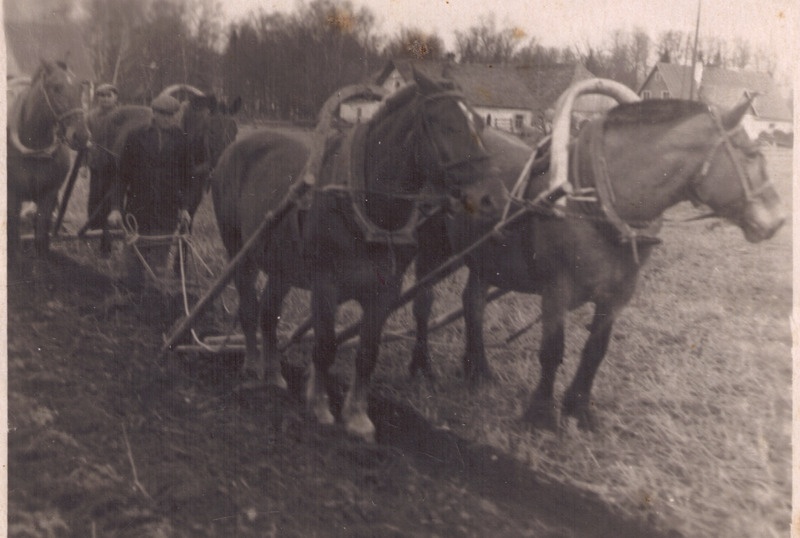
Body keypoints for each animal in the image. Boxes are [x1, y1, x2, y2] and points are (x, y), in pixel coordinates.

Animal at [6, 59, 90, 262]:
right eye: (56, 87)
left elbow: (41, 241)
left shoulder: (48, 195)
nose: (81, 135)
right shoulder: (13, 196)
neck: (35, 150)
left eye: (80, 88)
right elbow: (14, 243)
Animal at [212, 70, 510, 440]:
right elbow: (325, 345)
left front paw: (356, 417)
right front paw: (319, 406)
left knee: (269, 311)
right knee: (249, 308)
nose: (494, 199)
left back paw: (274, 374)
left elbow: (368, 352)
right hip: (241, 251)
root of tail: (235, 148)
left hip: (283, 264)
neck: (366, 204)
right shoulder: (325, 284)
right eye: (444, 124)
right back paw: (253, 366)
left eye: (481, 125)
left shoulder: (385, 291)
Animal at [410, 93, 784, 432]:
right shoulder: (556, 292)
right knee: (423, 302)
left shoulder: (616, 296)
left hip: (484, 256)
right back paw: (422, 369)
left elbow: (595, 352)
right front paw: (540, 414)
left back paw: (477, 369)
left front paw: (578, 409)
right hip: (431, 247)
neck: (596, 200)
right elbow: (552, 351)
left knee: (472, 301)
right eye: (752, 154)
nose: (778, 221)